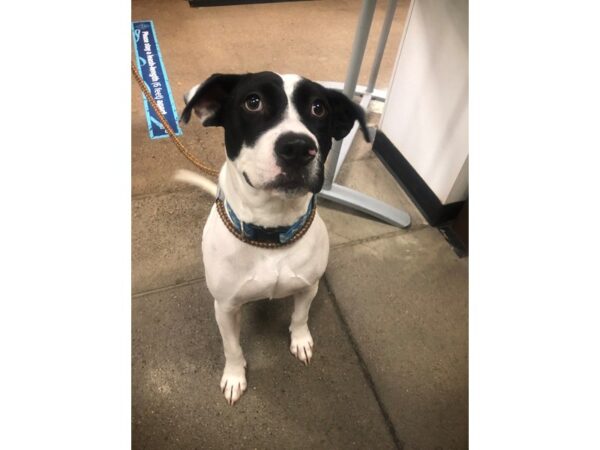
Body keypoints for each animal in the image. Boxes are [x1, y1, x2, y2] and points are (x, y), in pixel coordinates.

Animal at [176, 71, 368, 404]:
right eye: (253, 102)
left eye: (319, 108)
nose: (298, 147)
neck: (270, 233)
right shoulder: (225, 308)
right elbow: (232, 347)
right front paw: (234, 376)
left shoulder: (308, 287)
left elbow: (300, 317)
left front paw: (301, 341)